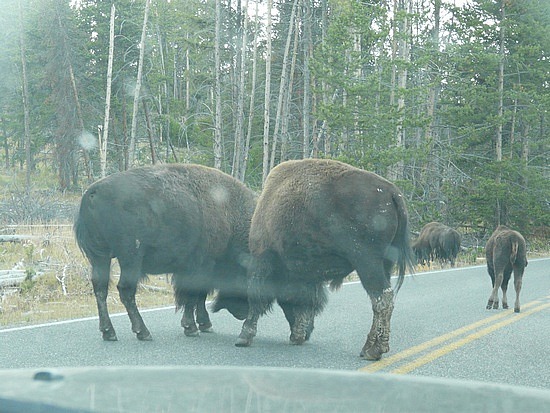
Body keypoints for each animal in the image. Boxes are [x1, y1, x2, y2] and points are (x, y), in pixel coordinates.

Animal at [73, 163, 258, 340]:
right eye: (245, 277)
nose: (243, 313)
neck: (231, 217)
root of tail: (93, 192)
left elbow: (199, 296)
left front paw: (204, 325)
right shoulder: (201, 266)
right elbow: (193, 295)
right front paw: (191, 328)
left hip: (99, 257)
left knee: (100, 288)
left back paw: (109, 332)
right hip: (130, 257)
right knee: (126, 290)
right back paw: (143, 332)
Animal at [235, 159, 416, 358]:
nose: (303, 335)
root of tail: (392, 192)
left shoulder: (262, 259)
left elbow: (256, 296)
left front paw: (244, 337)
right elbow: (304, 300)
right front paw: (298, 335)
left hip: (367, 262)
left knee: (382, 298)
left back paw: (372, 350)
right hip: (385, 263)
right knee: (384, 299)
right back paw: (371, 348)